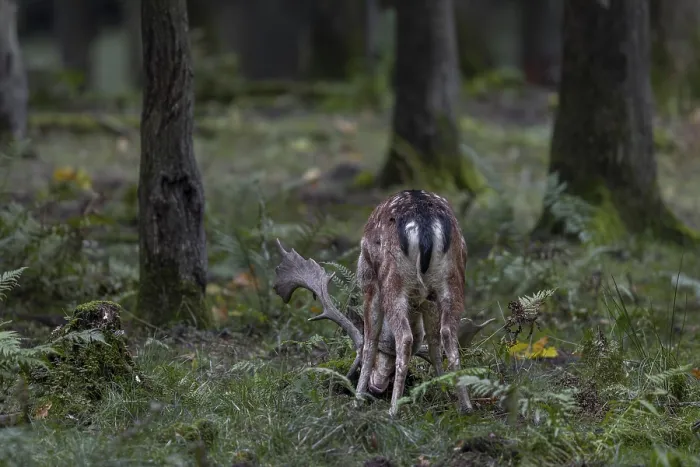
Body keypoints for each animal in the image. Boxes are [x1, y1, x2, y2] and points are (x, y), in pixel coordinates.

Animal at [273, 189, 494, 417]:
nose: (376, 387)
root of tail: (424, 225)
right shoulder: (427, 302)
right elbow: (433, 344)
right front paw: (444, 393)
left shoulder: (369, 282)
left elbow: (369, 340)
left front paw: (357, 400)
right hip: (453, 278)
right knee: (448, 335)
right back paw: (466, 406)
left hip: (391, 279)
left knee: (405, 337)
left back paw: (393, 410)